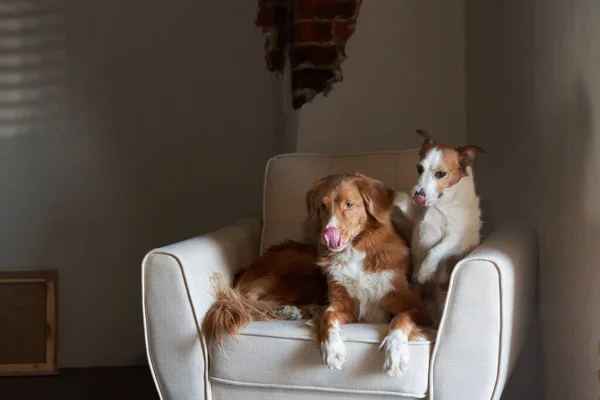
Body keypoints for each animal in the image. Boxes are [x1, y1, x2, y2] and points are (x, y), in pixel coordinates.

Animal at [396, 131, 486, 290]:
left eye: (440, 174)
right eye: (419, 168)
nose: (418, 195)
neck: (438, 204)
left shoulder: (455, 237)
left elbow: (436, 249)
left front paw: (425, 271)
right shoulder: (415, 217)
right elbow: (402, 197)